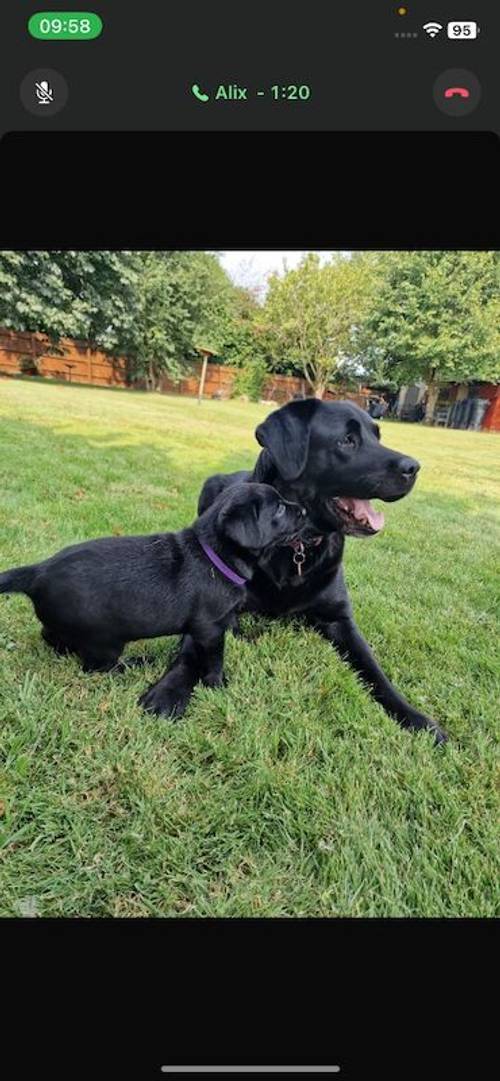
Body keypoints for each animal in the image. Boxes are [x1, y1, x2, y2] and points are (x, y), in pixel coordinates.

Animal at [0, 482, 304, 691]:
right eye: (278, 508)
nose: (303, 509)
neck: (214, 556)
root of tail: (38, 571)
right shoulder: (209, 628)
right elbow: (215, 658)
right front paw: (217, 684)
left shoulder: (223, 617)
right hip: (105, 639)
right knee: (97, 667)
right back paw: (134, 663)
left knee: (51, 636)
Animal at [139, 397, 449, 743]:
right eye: (347, 440)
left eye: (378, 436)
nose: (414, 467)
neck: (295, 543)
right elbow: (190, 651)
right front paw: (169, 690)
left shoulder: (340, 619)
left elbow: (375, 671)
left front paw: (415, 717)